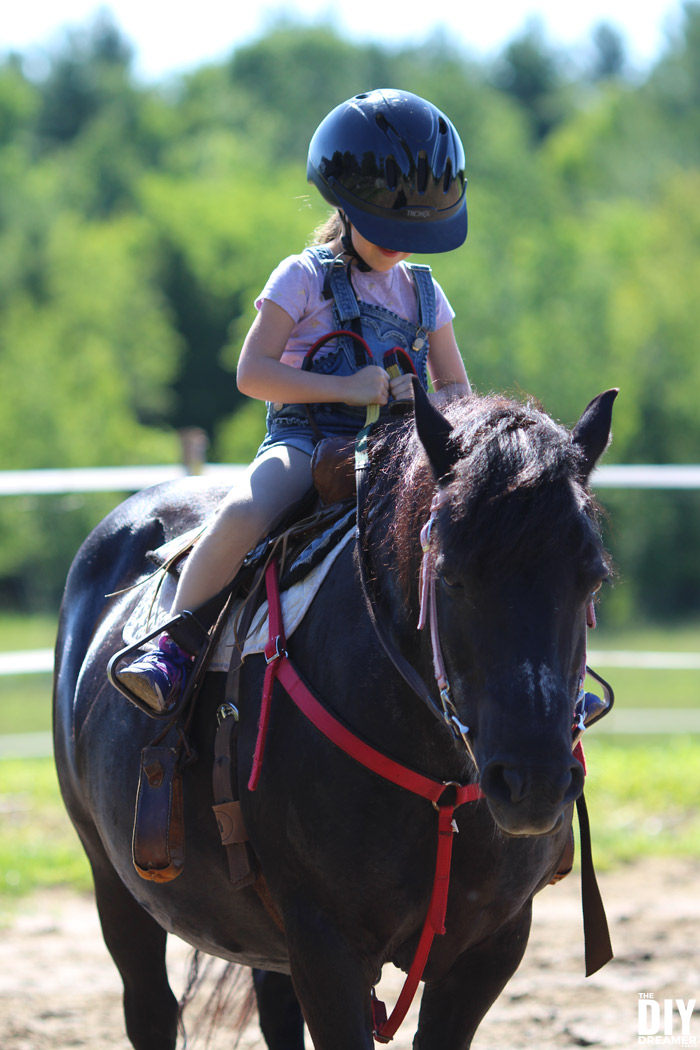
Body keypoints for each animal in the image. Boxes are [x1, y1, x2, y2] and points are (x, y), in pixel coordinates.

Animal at [53, 384, 617, 1050]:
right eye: (451, 576)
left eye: (591, 579)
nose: (535, 783)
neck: (444, 785)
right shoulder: (327, 950)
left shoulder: (491, 949)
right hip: (114, 884)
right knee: (150, 1008)